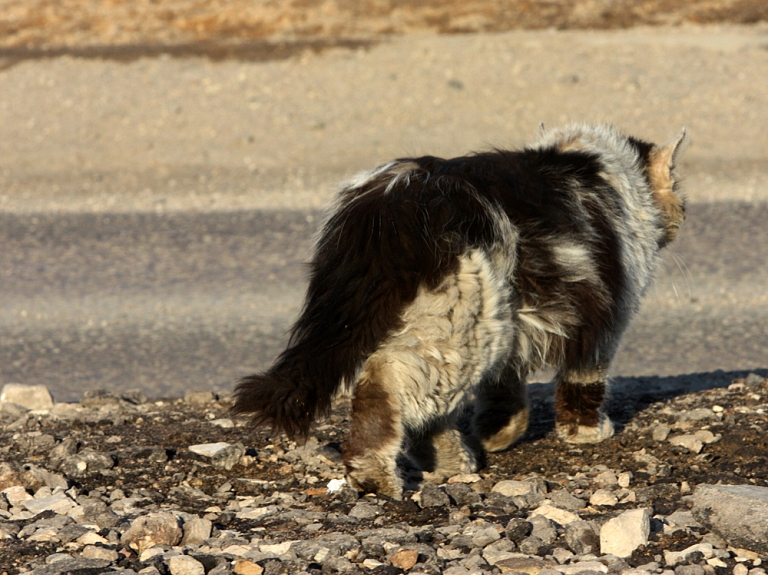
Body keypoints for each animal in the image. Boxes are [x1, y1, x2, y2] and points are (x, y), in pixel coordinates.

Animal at [231, 122, 688, 500]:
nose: (683, 212)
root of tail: (394, 197)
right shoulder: (608, 318)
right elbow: (584, 380)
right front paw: (587, 433)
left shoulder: (518, 325)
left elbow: (503, 389)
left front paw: (498, 434)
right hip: (464, 316)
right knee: (386, 387)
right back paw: (383, 476)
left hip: (473, 318)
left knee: (421, 404)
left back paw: (453, 461)